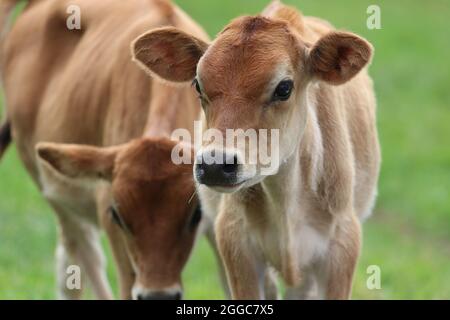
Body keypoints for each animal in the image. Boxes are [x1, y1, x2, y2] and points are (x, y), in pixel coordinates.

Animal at [136, 1, 380, 298]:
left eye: (284, 88)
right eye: (197, 84)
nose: (215, 164)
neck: (286, 199)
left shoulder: (342, 245)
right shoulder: (236, 243)